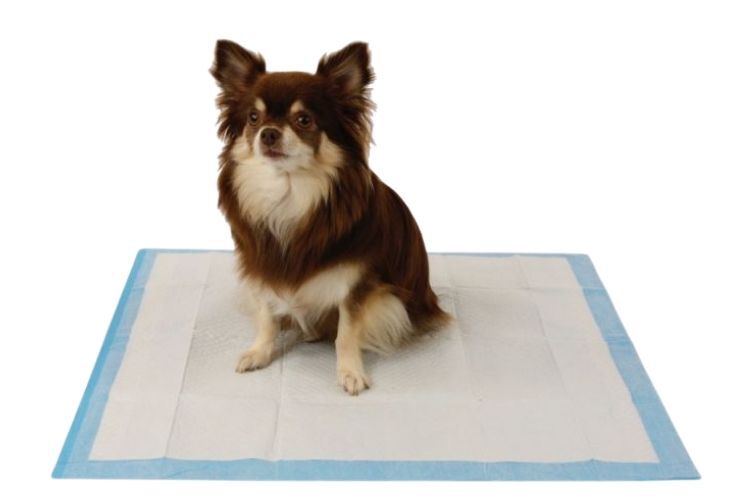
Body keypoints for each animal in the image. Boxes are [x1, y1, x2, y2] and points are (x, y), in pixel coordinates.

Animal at [210, 40, 451, 395]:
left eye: (304, 120)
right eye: (253, 118)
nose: (268, 133)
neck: (290, 192)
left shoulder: (359, 285)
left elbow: (346, 334)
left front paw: (349, 372)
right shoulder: (261, 267)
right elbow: (267, 316)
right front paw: (259, 352)